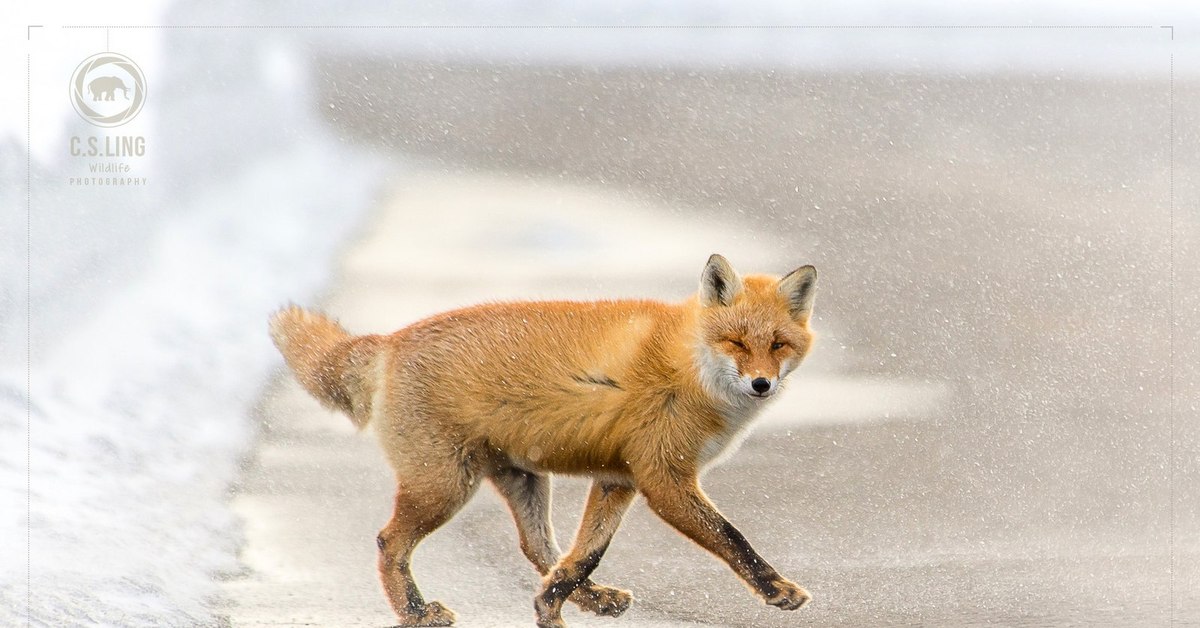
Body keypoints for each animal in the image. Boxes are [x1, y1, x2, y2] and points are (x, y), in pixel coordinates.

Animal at [270, 253, 816, 624]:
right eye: (736, 342)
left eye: (778, 345)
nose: (761, 384)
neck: (689, 368)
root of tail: (389, 341)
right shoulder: (663, 478)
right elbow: (732, 538)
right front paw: (778, 591)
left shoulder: (620, 480)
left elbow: (586, 554)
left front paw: (550, 606)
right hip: (445, 486)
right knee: (390, 542)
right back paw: (416, 613)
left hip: (522, 478)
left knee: (539, 550)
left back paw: (590, 597)